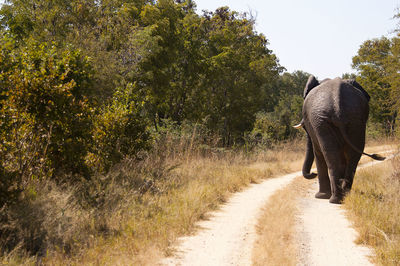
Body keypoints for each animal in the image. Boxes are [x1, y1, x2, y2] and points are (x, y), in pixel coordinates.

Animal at [296, 76, 384, 205]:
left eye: (304, 127)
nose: (312, 173)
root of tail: (338, 108)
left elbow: (318, 153)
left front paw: (320, 196)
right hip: (355, 120)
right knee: (352, 159)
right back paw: (344, 195)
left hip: (323, 122)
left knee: (332, 158)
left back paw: (335, 200)